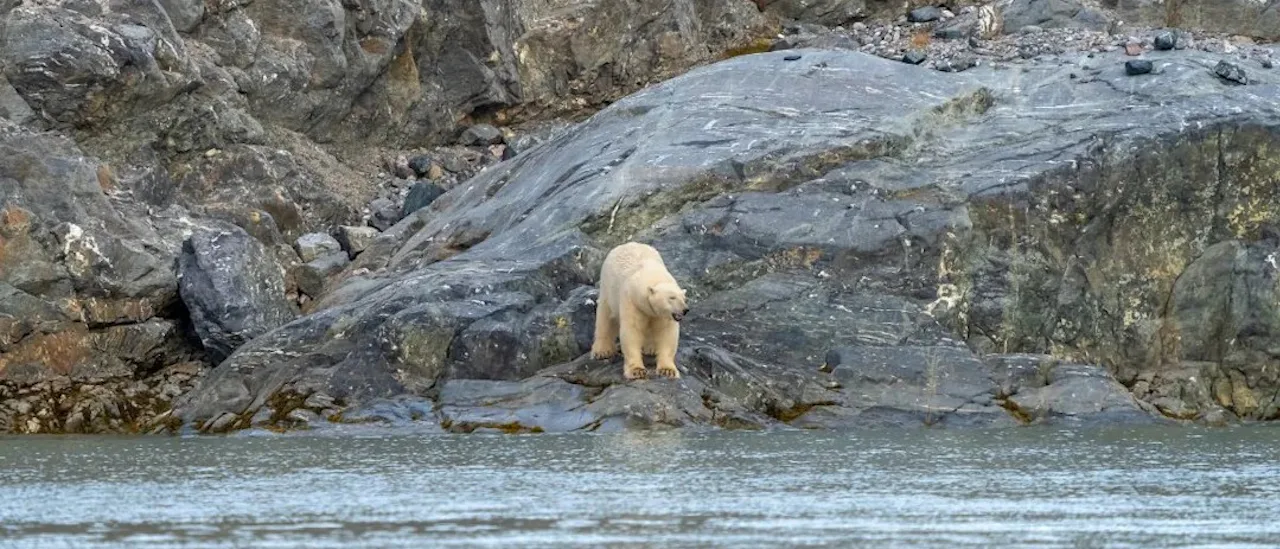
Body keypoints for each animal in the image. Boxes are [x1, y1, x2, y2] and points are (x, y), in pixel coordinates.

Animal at [590, 241, 689, 380]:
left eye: (684, 298)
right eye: (672, 297)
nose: (685, 310)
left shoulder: (662, 315)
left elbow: (666, 333)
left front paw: (667, 370)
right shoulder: (632, 301)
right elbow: (632, 331)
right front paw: (637, 370)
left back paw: (650, 348)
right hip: (608, 288)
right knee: (605, 317)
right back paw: (602, 350)